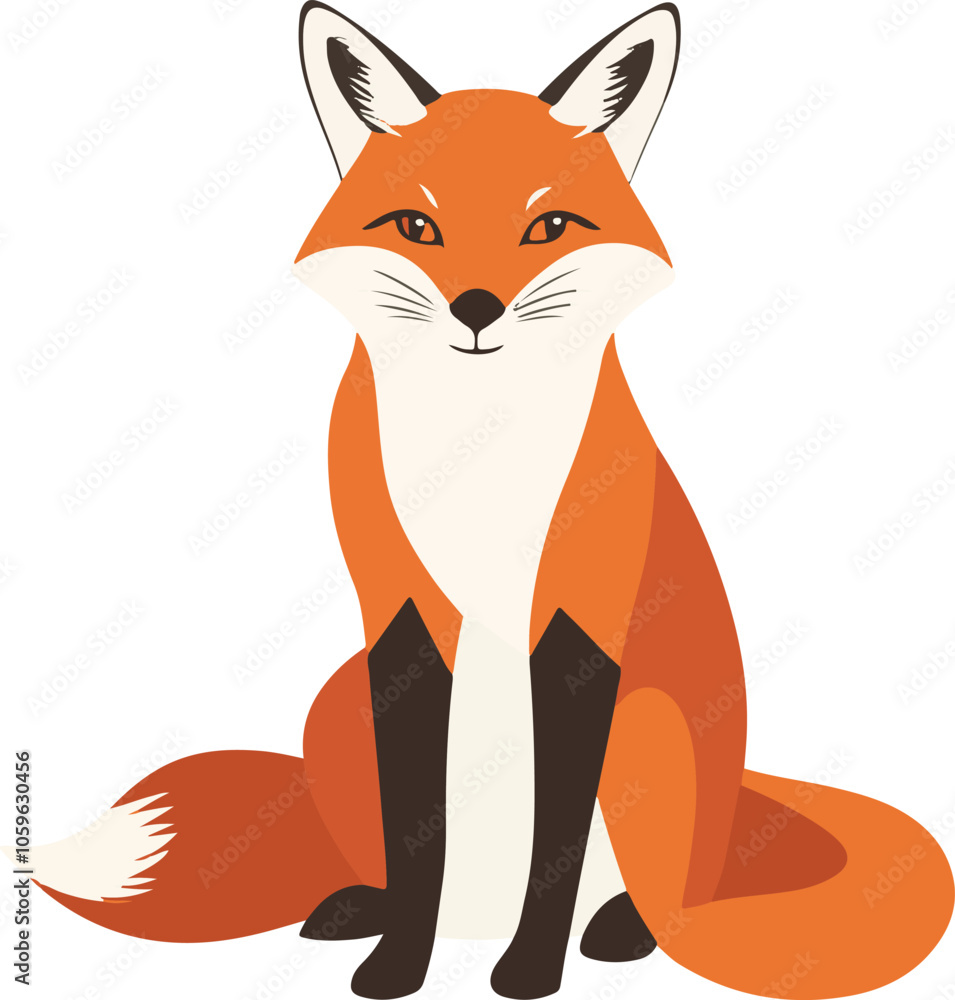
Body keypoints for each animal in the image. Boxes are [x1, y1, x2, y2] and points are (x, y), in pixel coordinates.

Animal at [6, 4, 953, 999]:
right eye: (416, 226)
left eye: (549, 227)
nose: (476, 306)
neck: (477, 450)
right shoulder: (400, 615)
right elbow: (418, 834)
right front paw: (397, 964)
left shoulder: (577, 623)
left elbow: (555, 847)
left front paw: (530, 970)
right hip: (336, 702)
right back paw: (365, 905)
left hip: (649, 736)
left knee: (668, 898)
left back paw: (619, 928)